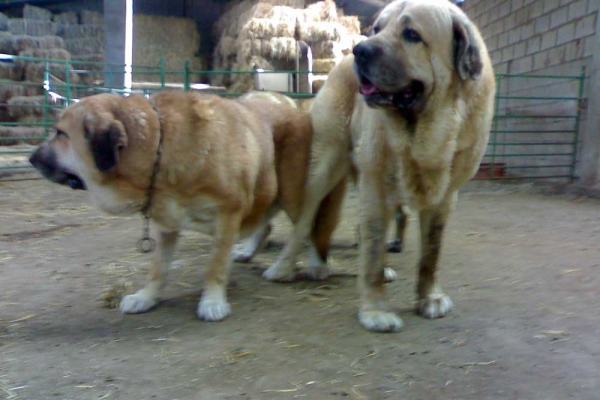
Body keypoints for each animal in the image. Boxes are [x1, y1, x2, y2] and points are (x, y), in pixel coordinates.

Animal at [29, 90, 314, 322]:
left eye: (61, 133)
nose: (31, 158)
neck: (159, 146)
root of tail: (290, 104)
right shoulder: (165, 225)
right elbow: (158, 268)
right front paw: (146, 297)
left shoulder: (228, 214)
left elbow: (216, 267)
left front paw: (212, 302)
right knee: (265, 225)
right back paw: (248, 251)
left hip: (290, 194)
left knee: (306, 227)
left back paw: (300, 265)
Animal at [264, 0, 494, 332]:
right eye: (377, 29)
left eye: (412, 35)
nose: (360, 50)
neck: (422, 130)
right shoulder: (375, 186)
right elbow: (371, 252)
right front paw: (375, 310)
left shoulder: (445, 196)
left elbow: (431, 252)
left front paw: (430, 298)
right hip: (326, 166)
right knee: (306, 221)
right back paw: (284, 268)